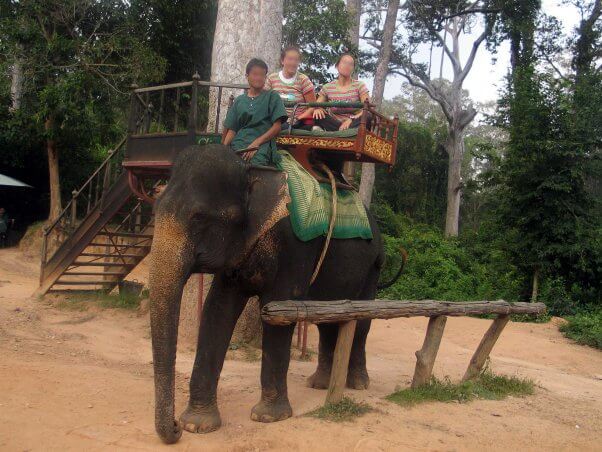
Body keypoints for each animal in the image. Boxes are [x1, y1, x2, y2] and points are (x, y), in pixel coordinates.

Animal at [148, 145, 396, 444]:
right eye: (155, 208)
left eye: (200, 217)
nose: (173, 427)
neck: (253, 172)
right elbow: (217, 309)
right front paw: (197, 425)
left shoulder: (296, 247)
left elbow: (278, 309)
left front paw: (268, 417)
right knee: (328, 320)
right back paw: (319, 384)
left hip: (373, 265)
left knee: (361, 321)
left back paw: (358, 384)